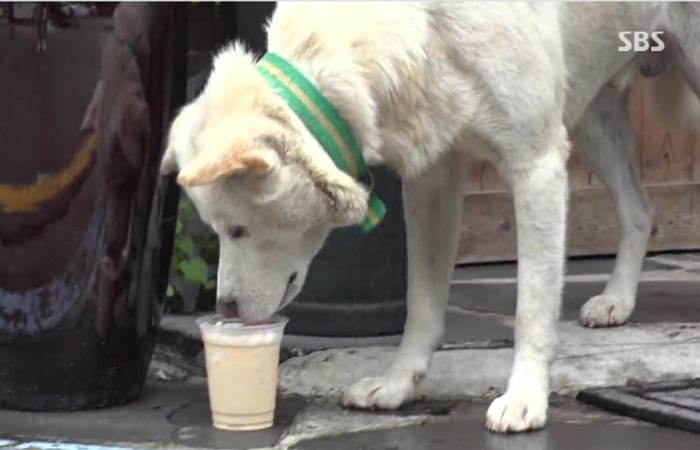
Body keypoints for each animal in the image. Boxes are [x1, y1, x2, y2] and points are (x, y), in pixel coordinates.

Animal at [159, 1, 700, 434]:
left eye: (238, 229)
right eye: (220, 231)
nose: (225, 308)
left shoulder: (537, 166)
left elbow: (531, 308)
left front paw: (525, 398)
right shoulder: (432, 180)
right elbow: (421, 305)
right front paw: (398, 384)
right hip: (590, 108)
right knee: (639, 209)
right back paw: (617, 301)